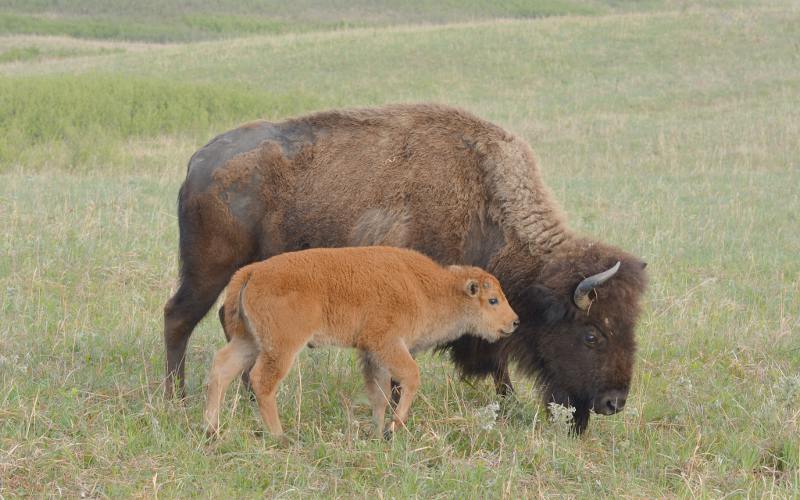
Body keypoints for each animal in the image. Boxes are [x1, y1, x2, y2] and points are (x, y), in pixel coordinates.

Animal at [166, 104, 648, 434]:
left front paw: (507, 406)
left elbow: (496, 362)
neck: (483, 201)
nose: (614, 402)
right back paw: (176, 397)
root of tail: (199, 161)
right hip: (207, 269)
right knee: (178, 318)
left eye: (630, 326)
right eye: (592, 334)